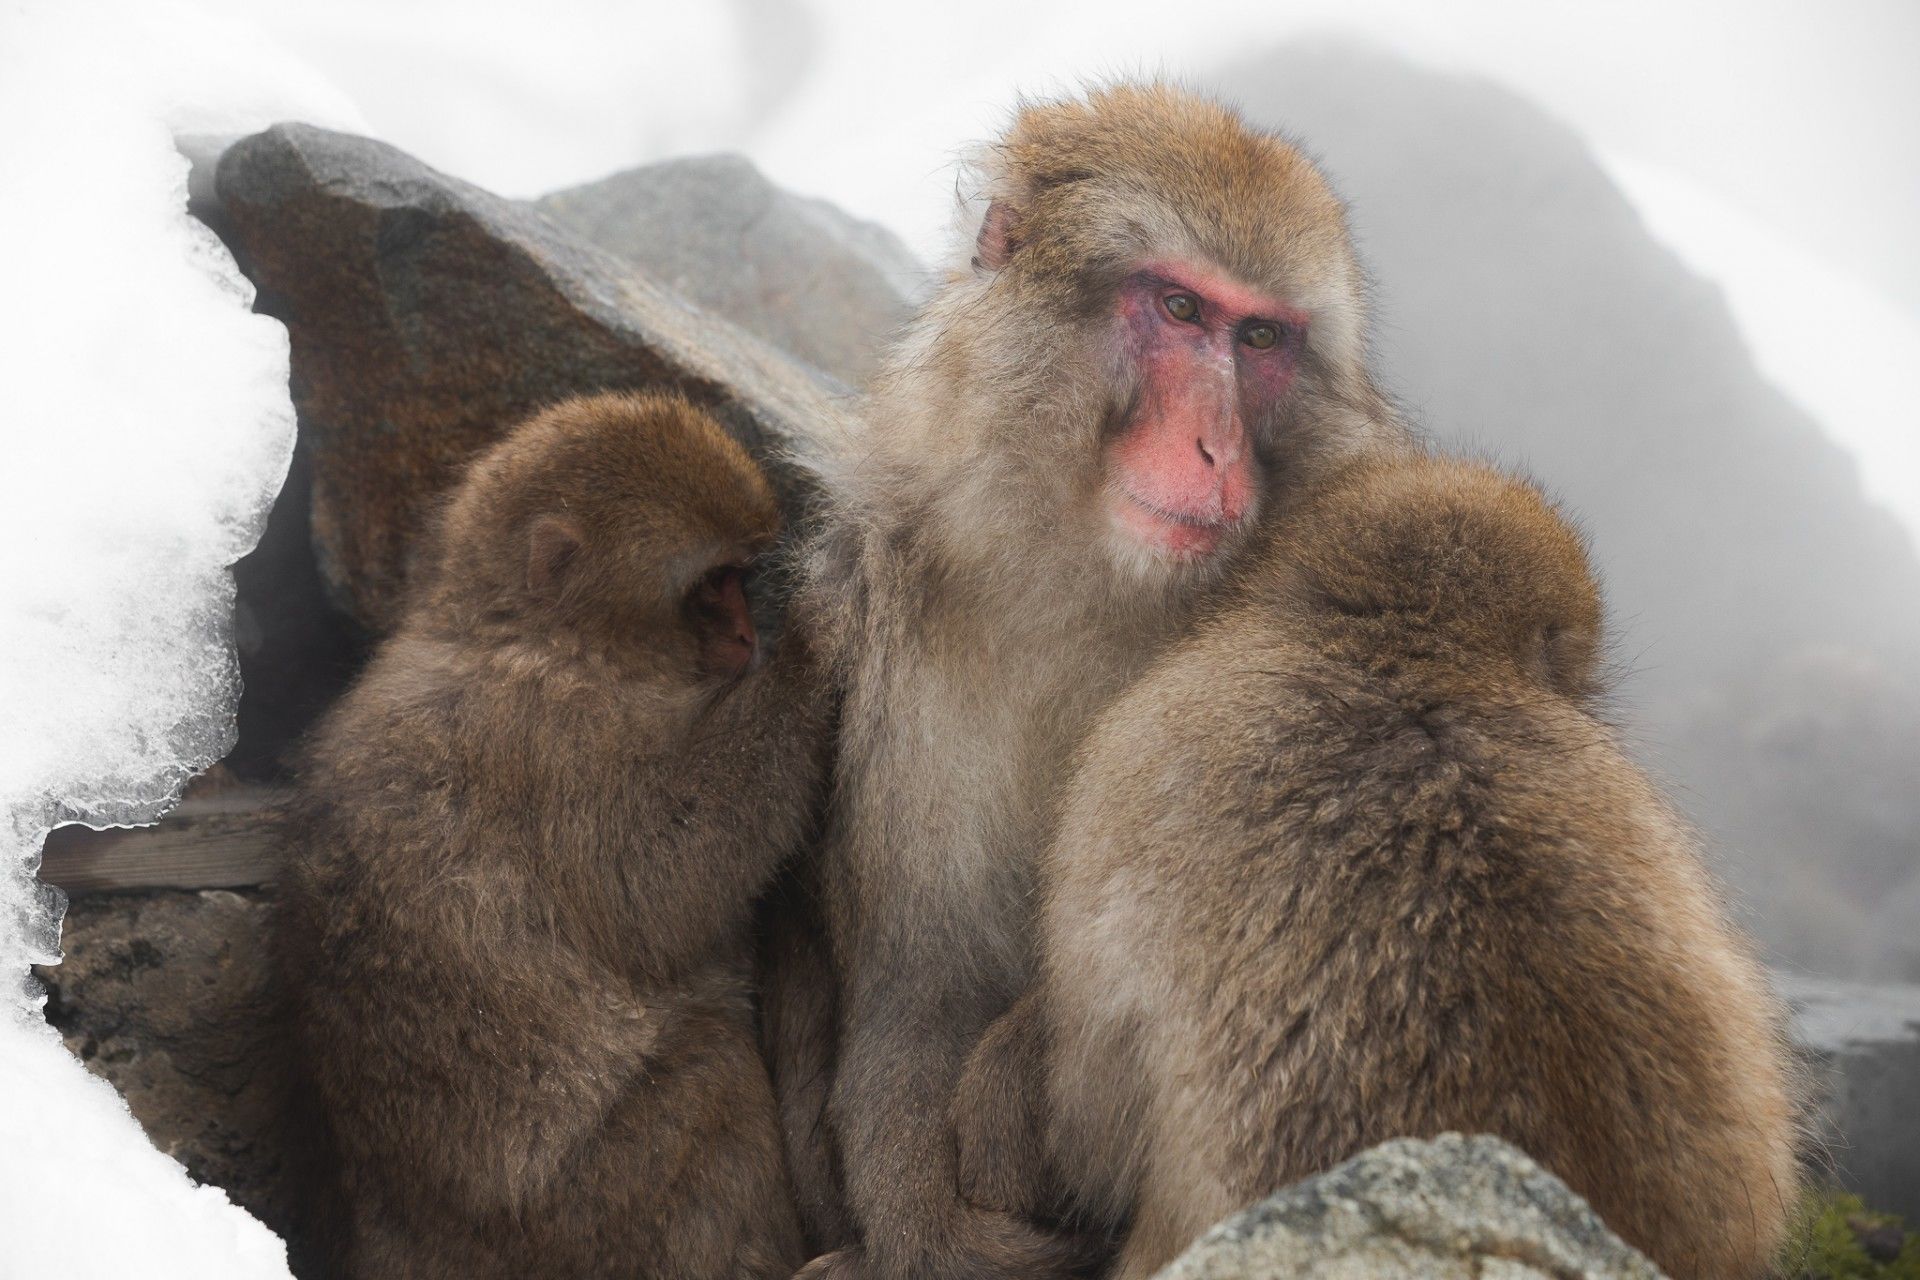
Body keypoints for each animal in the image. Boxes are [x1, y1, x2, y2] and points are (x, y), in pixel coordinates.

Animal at [276, 393, 825, 1280]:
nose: (747, 640)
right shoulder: (550, 739)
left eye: (739, 581)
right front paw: (814, 648)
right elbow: (657, 889)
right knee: (710, 1071)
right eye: (713, 586)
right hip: (585, 1221)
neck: (534, 635)